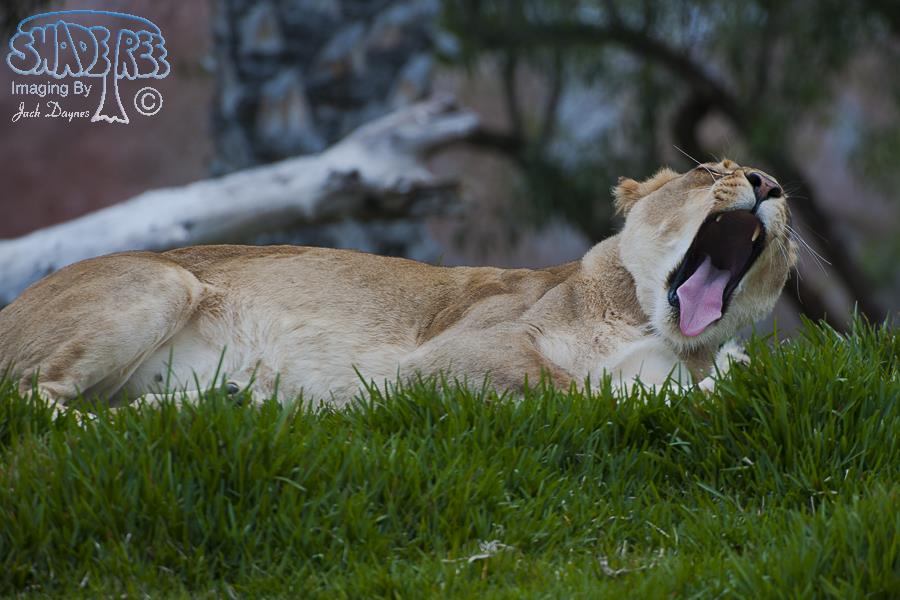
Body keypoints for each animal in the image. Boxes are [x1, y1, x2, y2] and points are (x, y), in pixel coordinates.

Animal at [0, 160, 796, 411]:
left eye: (781, 195)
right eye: (710, 169)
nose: (768, 183)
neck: (651, 323)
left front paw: (727, 378)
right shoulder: (448, 356)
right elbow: (573, 393)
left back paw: (220, 403)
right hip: (164, 282)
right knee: (33, 402)